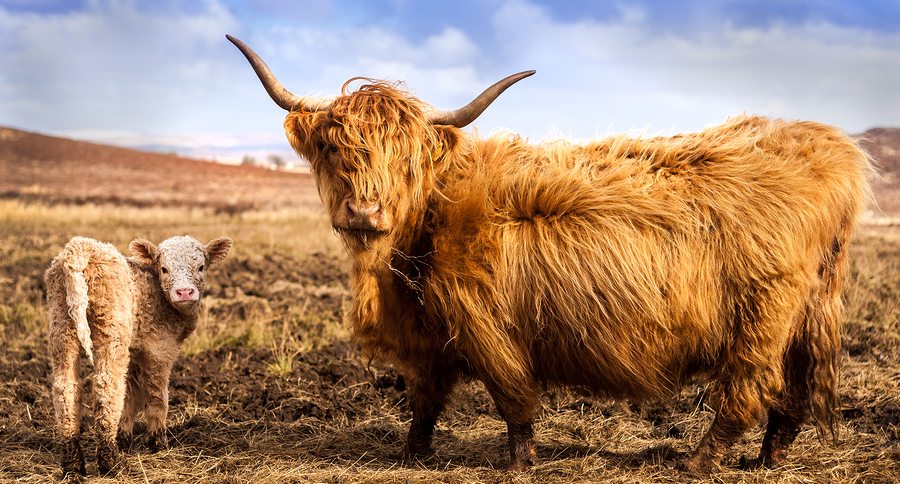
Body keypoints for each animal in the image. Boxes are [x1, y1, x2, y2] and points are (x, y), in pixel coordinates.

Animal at [45, 235, 232, 476]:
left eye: (201, 267)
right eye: (164, 269)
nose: (184, 292)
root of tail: (80, 247)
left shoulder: (134, 351)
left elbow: (131, 397)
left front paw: (124, 439)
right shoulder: (160, 348)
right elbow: (157, 395)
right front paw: (157, 443)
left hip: (61, 326)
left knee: (65, 388)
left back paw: (73, 464)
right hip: (111, 330)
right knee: (108, 387)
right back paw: (110, 462)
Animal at [227, 35, 872, 472]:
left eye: (406, 160)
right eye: (335, 149)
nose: (364, 214)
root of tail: (825, 148)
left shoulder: (484, 324)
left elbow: (511, 399)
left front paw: (517, 465)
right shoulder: (429, 334)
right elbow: (425, 397)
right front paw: (412, 454)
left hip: (763, 316)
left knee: (746, 390)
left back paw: (697, 463)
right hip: (808, 313)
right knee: (792, 396)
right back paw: (767, 461)